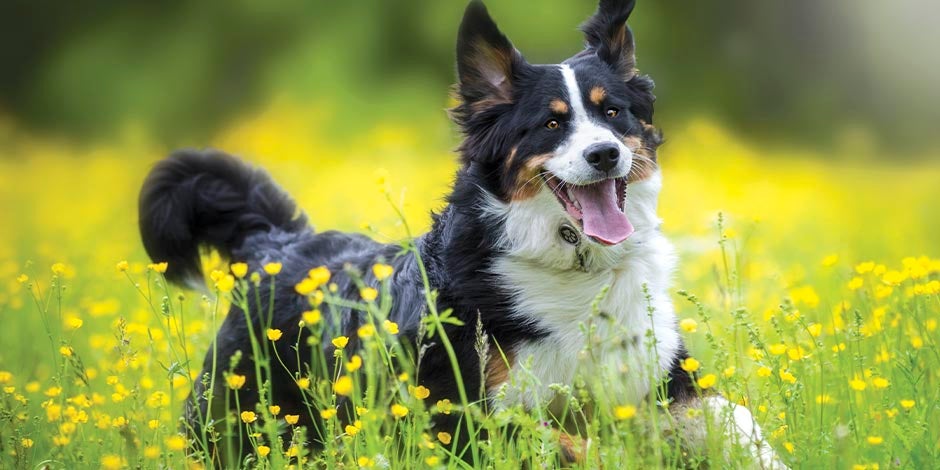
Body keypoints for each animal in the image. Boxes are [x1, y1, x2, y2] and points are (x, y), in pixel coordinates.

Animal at [140, 0, 784, 466]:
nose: (604, 154)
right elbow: (573, 444)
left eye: (614, 113)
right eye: (551, 124)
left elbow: (735, 420)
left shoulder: (661, 380)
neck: (574, 270)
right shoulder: (463, 415)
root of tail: (276, 243)